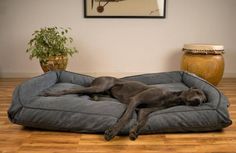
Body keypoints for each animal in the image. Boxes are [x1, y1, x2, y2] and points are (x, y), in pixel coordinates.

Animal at [43, 76, 207, 141]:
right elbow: (126, 117)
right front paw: (112, 132)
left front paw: (134, 132)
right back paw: (49, 93)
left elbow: (143, 121)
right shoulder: (136, 100)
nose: (198, 102)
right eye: (198, 92)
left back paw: (95, 98)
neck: (170, 97)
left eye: (204, 99)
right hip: (101, 85)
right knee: (73, 90)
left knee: (89, 93)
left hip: (103, 91)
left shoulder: (144, 110)